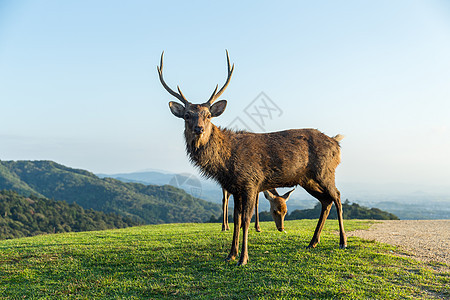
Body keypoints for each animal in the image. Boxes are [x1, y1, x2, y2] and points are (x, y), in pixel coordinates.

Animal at [158, 50, 348, 266]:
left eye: (208, 115)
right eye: (187, 115)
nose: (199, 129)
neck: (226, 163)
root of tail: (336, 143)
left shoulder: (250, 182)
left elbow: (246, 220)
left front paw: (243, 258)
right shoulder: (235, 188)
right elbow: (236, 220)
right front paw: (230, 254)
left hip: (325, 171)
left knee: (337, 196)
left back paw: (342, 242)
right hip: (306, 179)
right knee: (326, 201)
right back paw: (313, 242)